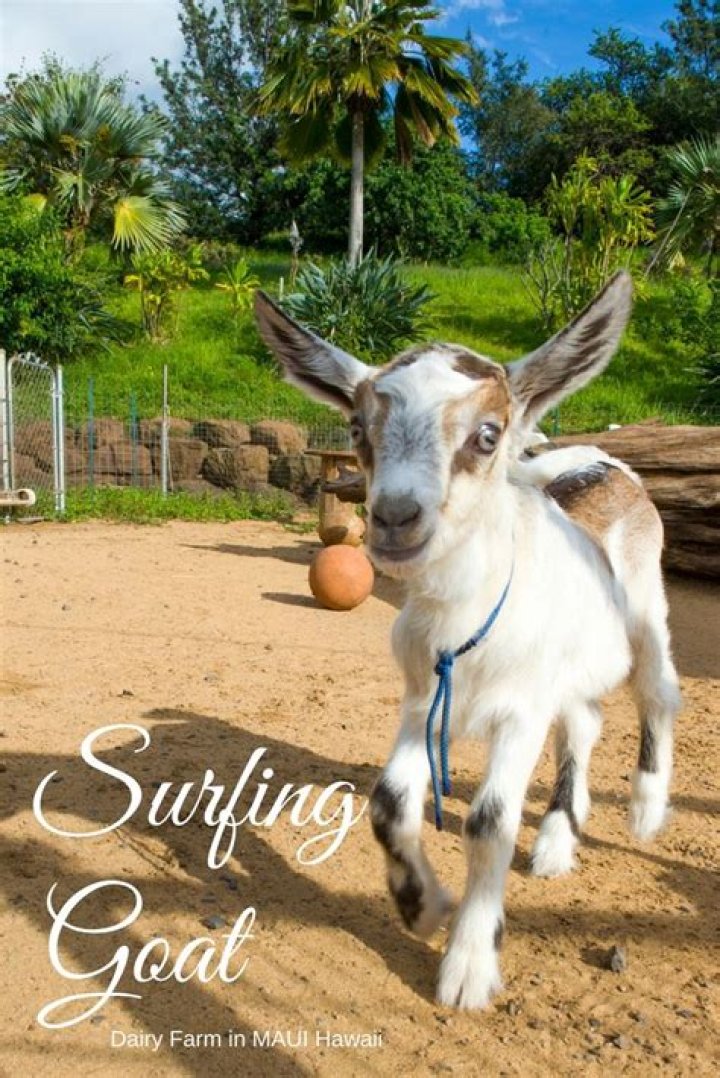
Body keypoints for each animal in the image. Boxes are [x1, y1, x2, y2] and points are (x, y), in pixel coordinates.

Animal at [255, 272, 682, 1010]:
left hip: (646, 607)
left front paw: (469, 966)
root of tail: (600, 460)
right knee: (585, 723)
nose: (395, 517)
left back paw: (646, 810)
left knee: (656, 689)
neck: (465, 625)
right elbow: (388, 803)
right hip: (566, 668)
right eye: (357, 429)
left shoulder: (519, 711)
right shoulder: (424, 700)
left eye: (486, 434)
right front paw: (421, 906)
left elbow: (489, 820)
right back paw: (557, 841)